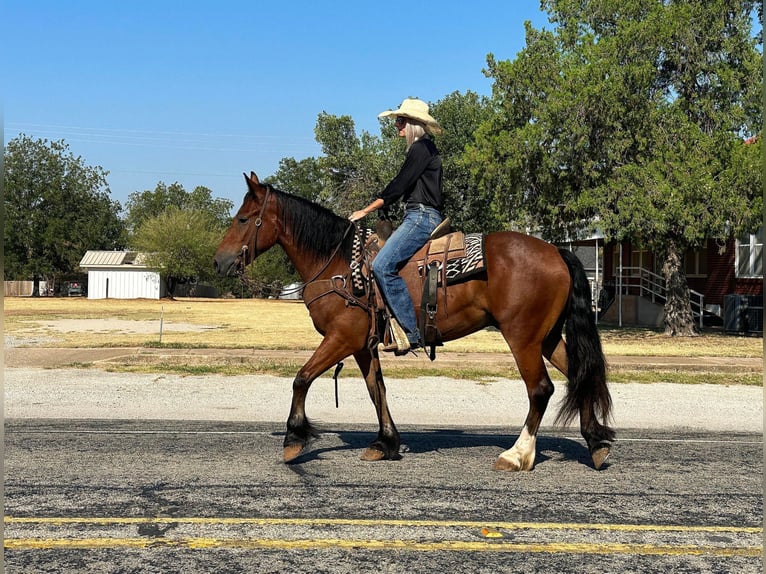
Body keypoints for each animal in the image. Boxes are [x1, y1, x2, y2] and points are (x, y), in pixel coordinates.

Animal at [213, 173, 616, 474]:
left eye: (243, 219)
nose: (219, 261)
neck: (339, 264)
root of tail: (557, 251)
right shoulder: (362, 345)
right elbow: (376, 390)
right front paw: (385, 443)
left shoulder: (342, 338)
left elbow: (302, 377)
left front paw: (294, 439)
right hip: (545, 338)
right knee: (579, 376)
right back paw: (596, 443)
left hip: (523, 338)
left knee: (540, 390)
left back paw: (517, 455)